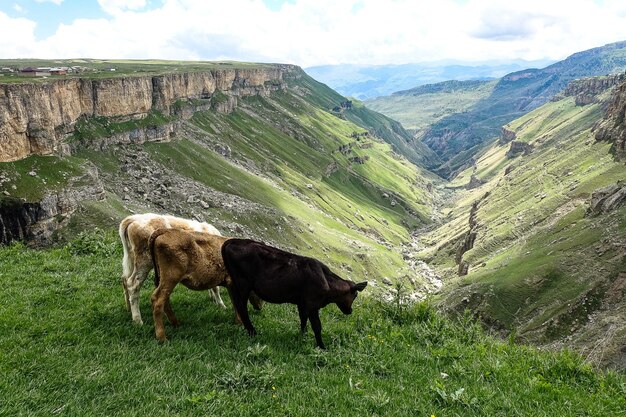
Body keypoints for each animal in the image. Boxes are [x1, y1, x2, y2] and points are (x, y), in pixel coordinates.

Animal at [221, 237, 364, 348]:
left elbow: (303, 320)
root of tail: (232, 241)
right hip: (243, 284)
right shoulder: (312, 304)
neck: (328, 283)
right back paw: (252, 332)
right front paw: (321, 346)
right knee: (241, 306)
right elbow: (317, 326)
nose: (350, 311)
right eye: (355, 295)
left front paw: (302, 336)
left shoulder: (302, 303)